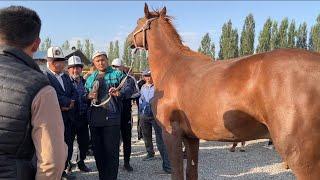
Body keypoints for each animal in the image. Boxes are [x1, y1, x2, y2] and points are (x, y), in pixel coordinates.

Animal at [128, 3, 320, 179]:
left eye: (138, 22)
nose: (129, 39)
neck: (172, 66)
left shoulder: (172, 134)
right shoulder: (191, 137)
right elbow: (191, 171)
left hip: (301, 155)